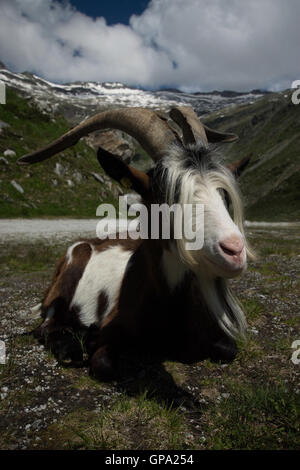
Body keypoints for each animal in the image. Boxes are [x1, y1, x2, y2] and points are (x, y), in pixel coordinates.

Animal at [18, 105, 252, 378]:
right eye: (165, 194)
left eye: (223, 193)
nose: (234, 251)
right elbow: (103, 364)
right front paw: (88, 343)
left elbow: (229, 349)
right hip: (65, 281)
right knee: (46, 325)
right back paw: (71, 347)